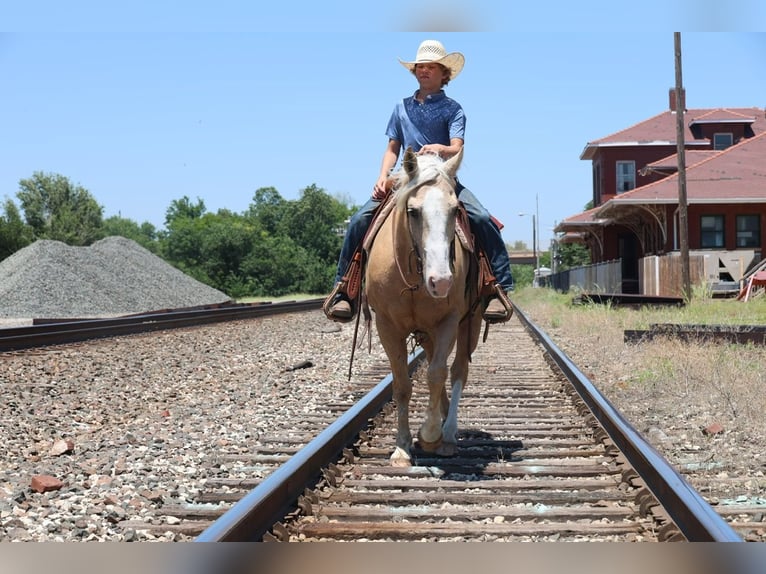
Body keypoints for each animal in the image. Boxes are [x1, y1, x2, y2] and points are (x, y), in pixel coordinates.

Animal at [364, 147, 484, 467]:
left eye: (455, 210)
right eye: (413, 211)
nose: (441, 281)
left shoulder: (449, 321)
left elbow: (435, 374)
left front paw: (430, 434)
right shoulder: (387, 325)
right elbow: (402, 385)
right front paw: (403, 447)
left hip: (470, 322)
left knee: (456, 370)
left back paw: (448, 434)